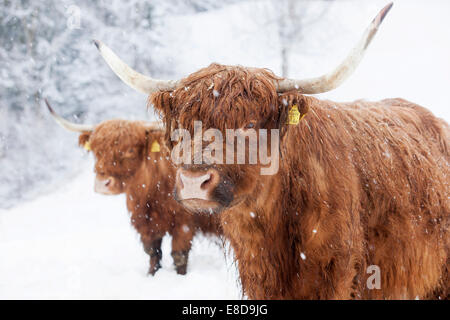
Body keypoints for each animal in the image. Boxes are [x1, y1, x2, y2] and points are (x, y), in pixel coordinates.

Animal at [45, 101, 221, 276]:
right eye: (96, 150)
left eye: (130, 150)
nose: (103, 184)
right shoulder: (145, 222)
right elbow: (153, 253)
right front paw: (151, 275)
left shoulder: (184, 222)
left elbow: (179, 255)